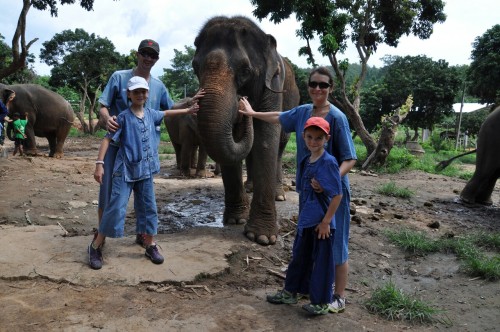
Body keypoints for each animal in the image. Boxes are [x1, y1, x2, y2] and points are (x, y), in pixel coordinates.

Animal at [191, 16, 300, 244]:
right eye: (195, 66)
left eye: (245, 71)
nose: (242, 102)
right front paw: (235, 220)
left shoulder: (274, 85)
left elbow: (266, 138)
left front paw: (262, 237)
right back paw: (250, 187)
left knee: (279, 146)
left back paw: (279, 194)